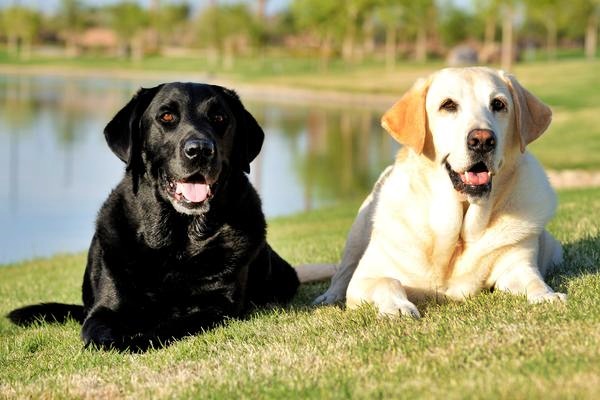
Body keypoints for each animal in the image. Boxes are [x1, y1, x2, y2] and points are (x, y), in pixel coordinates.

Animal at [8, 82, 300, 350]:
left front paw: (136, 341)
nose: (200, 149)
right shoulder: (105, 309)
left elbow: (168, 326)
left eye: (219, 118)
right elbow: (100, 333)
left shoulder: (216, 307)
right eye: (167, 117)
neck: (177, 241)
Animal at [312, 66, 564, 316]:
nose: (483, 140)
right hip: (357, 233)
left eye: (498, 104)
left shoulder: (517, 265)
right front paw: (399, 307)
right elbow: (387, 281)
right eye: (448, 105)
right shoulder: (366, 277)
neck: (457, 234)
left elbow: (533, 281)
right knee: (343, 272)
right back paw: (329, 297)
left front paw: (547, 296)